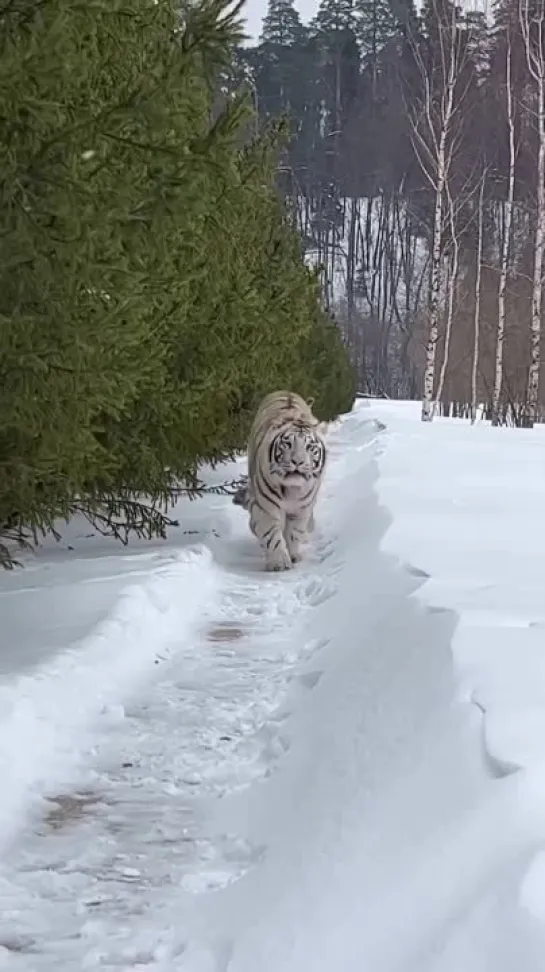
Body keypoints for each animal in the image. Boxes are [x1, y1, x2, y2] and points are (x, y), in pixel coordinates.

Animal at [232, 388, 326, 568]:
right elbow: (271, 534)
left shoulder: (302, 508)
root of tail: (285, 391)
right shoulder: (265, 507)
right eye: (287, 444)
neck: (292, 490)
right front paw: (279, 563)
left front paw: (293, 555)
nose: (298, 461)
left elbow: (294, 532)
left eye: (309, 447)